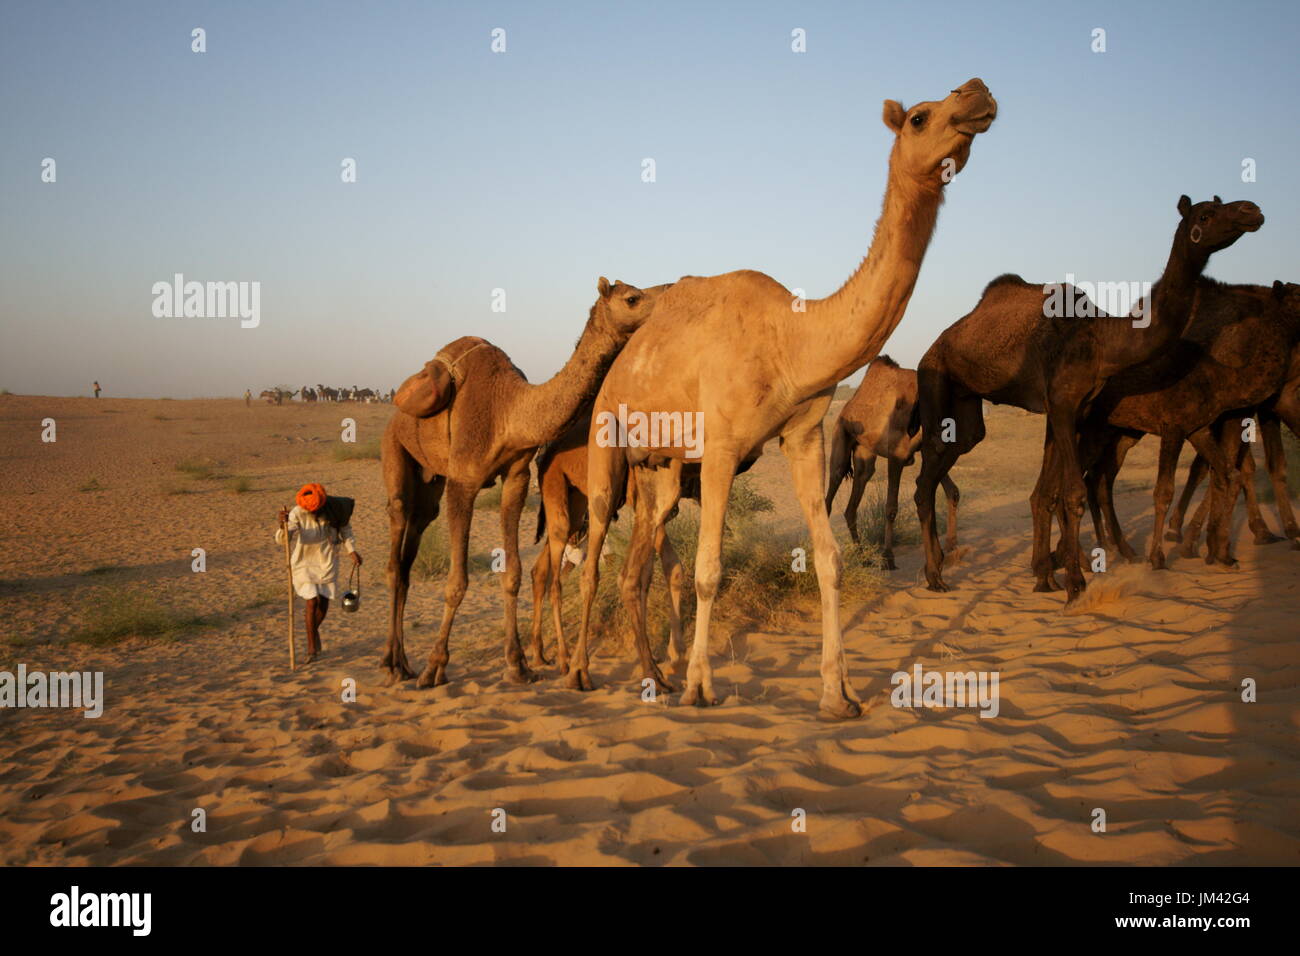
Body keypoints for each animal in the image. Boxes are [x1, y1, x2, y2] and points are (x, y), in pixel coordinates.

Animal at [380, 278, 664, 687]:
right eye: (632, 298)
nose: (670, 295)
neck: (510, 411)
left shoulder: (516, 475)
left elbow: (512, 573)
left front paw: (518, 664)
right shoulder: (463, 480)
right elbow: (457, 581)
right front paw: (436, 666)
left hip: (430, 482)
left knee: (409, 552)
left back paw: (403, 661)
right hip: (396, 450)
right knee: (396, 537)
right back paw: (391, 663)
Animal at [824, 355, 959, 569]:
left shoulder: (928, 450)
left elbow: (952, 491)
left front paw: (952, 546)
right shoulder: (896, 456)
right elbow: (890, 507)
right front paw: (888, 557)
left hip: (864, 455)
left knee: (852, 504)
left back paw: (863, 557)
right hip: (841, 437)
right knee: (831, 488)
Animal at [914, 195, 1264, 602]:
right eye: (1206, 215)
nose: (1251, 210)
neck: (1102, 340)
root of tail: (930, 348)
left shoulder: (1071, 410)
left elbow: (1049, 493)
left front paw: (1047, 578)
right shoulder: (1064, 406)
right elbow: (1074, 492)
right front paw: (1075, 584)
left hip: (968, 406)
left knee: (961, 445)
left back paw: (941, 569)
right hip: (933, 379)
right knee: (925, 478)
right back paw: (935, 575)